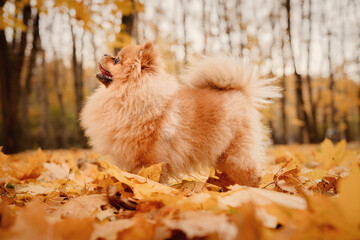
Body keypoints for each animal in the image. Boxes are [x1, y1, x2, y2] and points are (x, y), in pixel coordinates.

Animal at [80, 42, 280, 187]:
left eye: (117, 60)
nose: (105, 54)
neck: (129, 94)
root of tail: (240, 92)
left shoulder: (151, 160)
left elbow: (149, 179)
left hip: (237, 155)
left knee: (252, 174)